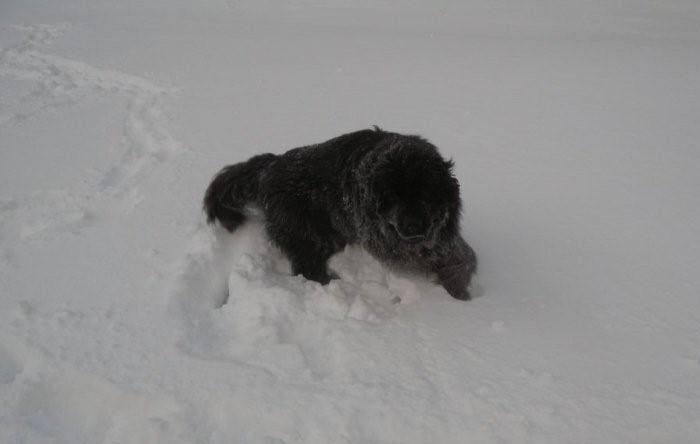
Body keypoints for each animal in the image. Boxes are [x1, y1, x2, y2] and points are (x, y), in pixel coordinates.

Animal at [202, 128, 476, 302]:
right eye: (394, 197)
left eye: (424, 194)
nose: (412, 227)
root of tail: (271, 167)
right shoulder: (387, 243)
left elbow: (458, 258)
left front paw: (460, 287)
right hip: (307, 235)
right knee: (307, 267)